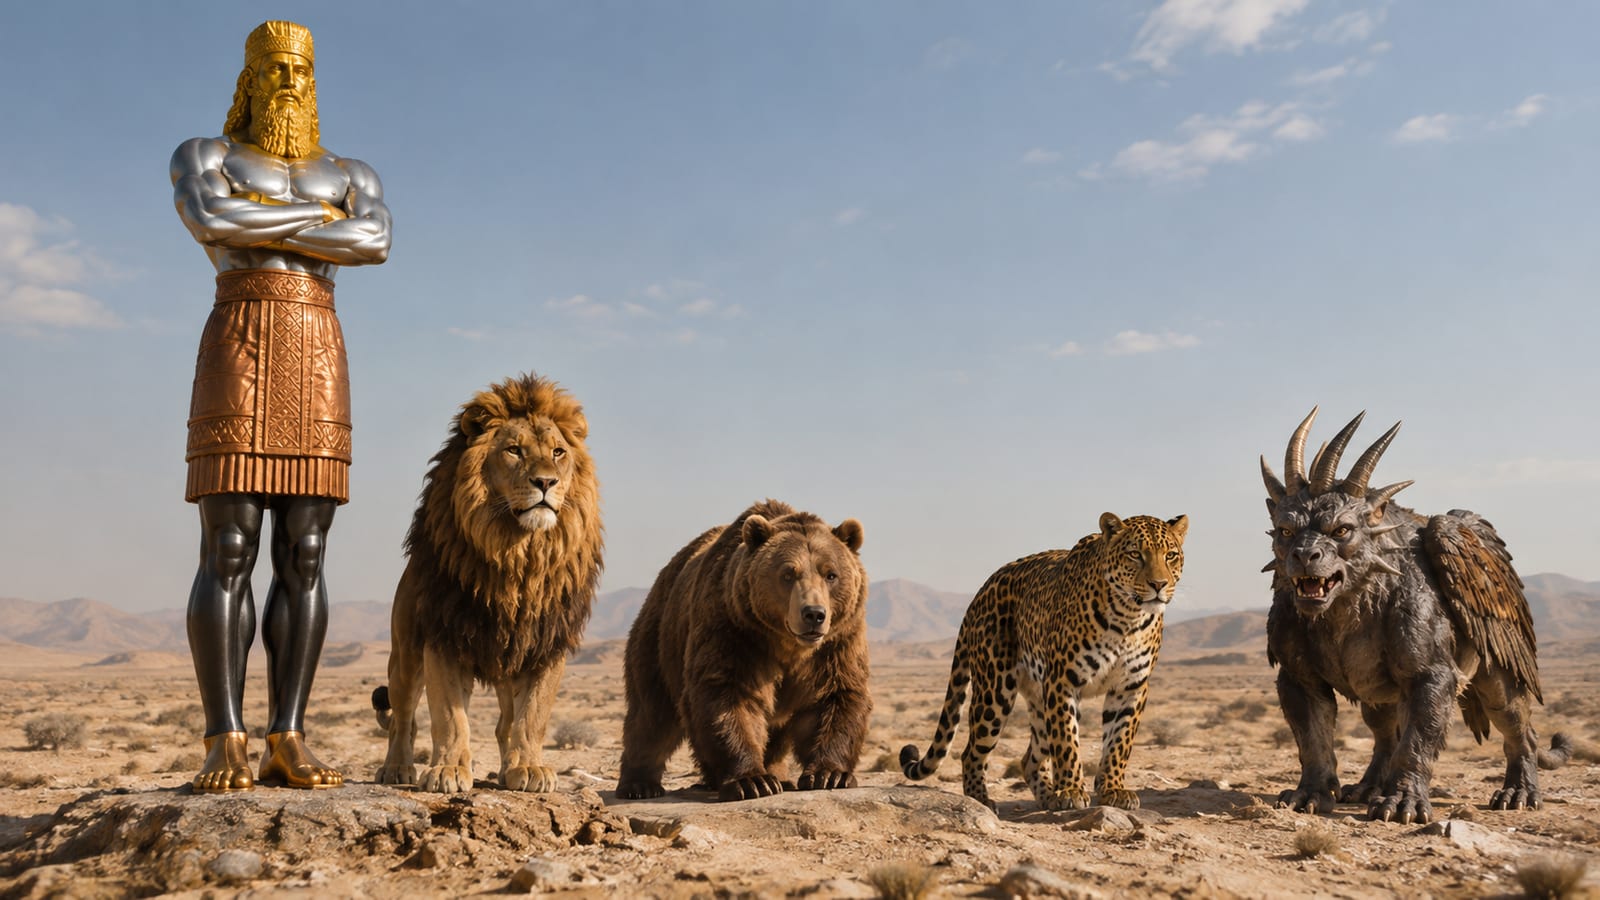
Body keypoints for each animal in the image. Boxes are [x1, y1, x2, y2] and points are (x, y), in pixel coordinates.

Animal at [372, 373, 603, 793]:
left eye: (558, 452)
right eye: (514, 450)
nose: (546, 482)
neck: (518, 554)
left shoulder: (545, 643)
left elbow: (533, 716)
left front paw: (529, 768)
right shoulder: (444, 634)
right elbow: (450, 717)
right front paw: (448, 770)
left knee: (504, 724)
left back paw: (509, 767)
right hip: (405, 655)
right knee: (403, 717)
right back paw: (397, 768)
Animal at [616, 499, 872, 802]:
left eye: (830, 574)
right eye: (788, 573)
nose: (813, 614)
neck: (787, 645)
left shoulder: (836, 643)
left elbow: (835, 696)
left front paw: (830, 774)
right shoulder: (735, 632)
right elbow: (729, 694)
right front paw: (752, 781)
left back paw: (778, 776)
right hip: (659, 639)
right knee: (651, 716)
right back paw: (639, 785)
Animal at [900, 512, 1188, 812]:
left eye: (1170, 555)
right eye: (1135, 554)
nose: (1159, 585)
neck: (1127, 618)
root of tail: (978, 594)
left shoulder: (1131, 686)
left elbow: (1119, 742)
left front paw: (1113, 789)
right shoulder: (1062, 681)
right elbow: (1066, 740)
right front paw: (1071, 790)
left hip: (1038, 698)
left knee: (1029, 758)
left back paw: (1048, 796)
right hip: (995, 692)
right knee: (971, 752)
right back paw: (980, 799)